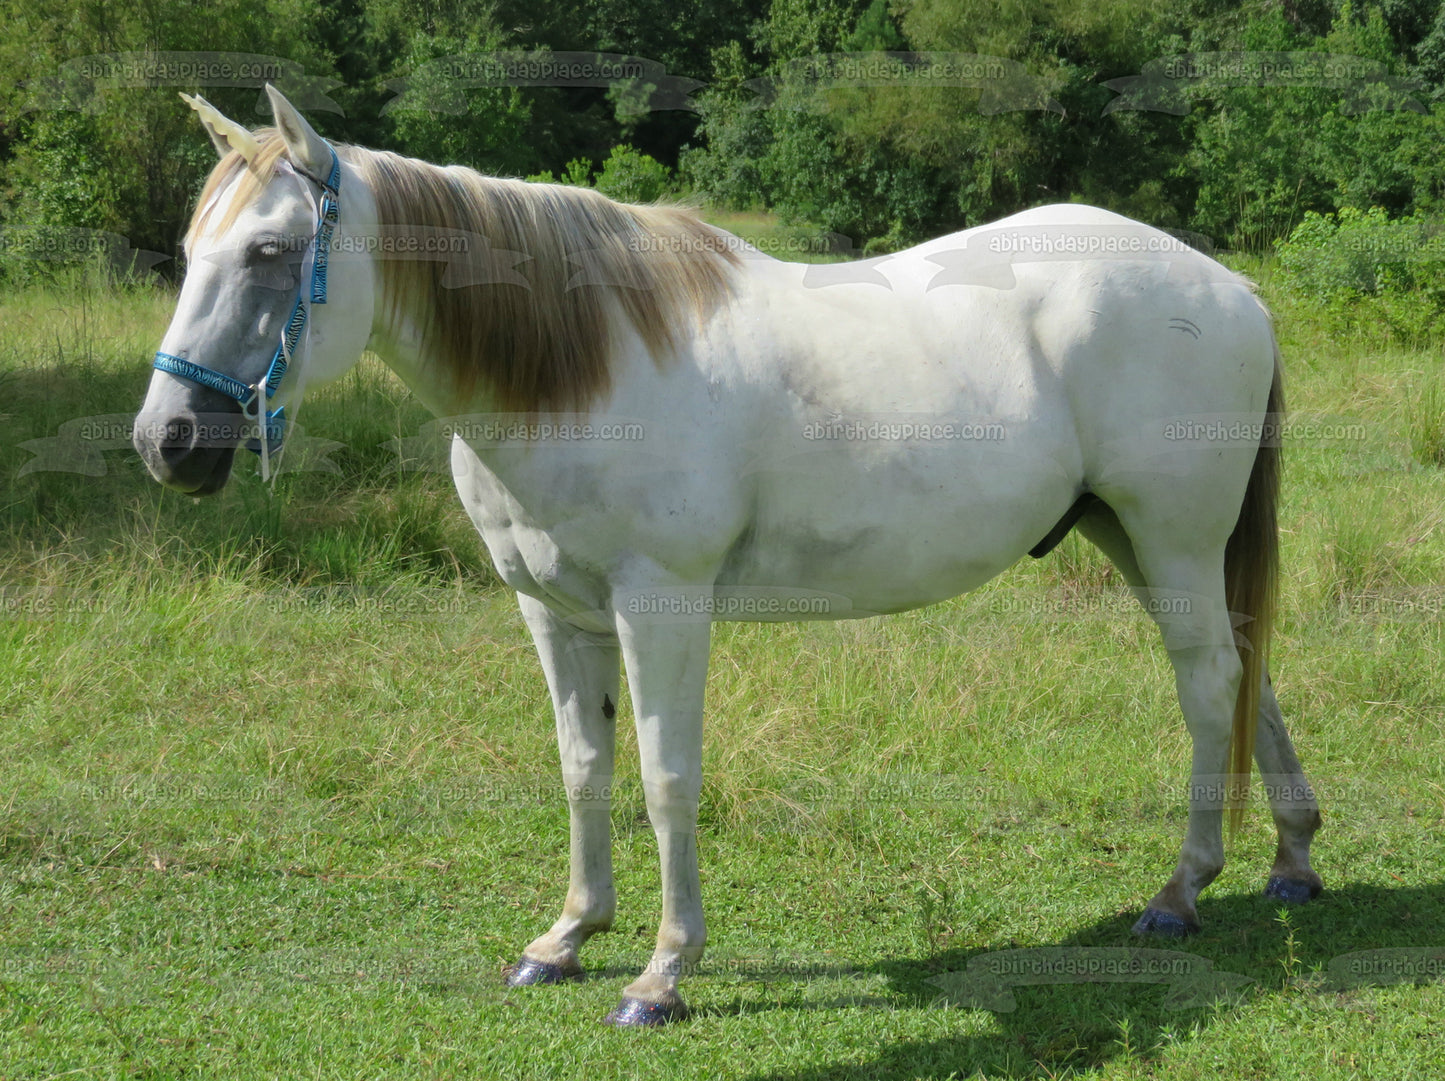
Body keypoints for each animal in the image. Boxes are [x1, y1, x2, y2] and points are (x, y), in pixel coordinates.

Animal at [132, 88, 1323, 1028]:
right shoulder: (552, 612)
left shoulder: (659, 607)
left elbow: (665, 777)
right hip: (1136, 538)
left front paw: (661, 974)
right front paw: (566, 937)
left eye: (271, 253)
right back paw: (1291, 861)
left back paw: (1179, 892)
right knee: (1247, 673)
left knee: (1209, 683)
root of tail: (1229, 289)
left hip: (1169, 537)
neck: (576, 369)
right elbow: (582, 765)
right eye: (192, 252)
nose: (168, 442)